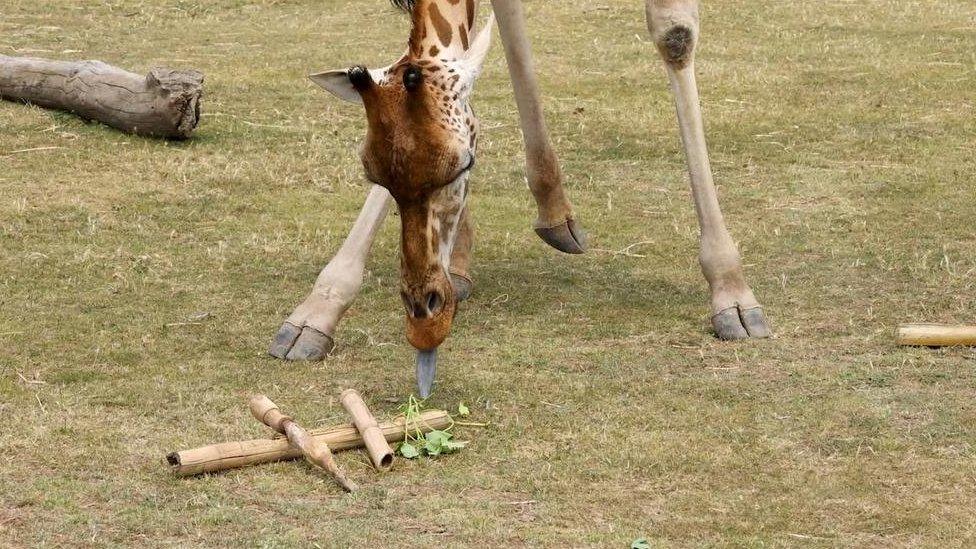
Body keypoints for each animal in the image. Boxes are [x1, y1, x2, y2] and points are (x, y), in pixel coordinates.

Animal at [266, 0, 772, 396]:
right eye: (371, 171)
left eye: (463, 164)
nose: (425, 324)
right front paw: (316, 312)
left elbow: (675, 33)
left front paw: (731, 291)